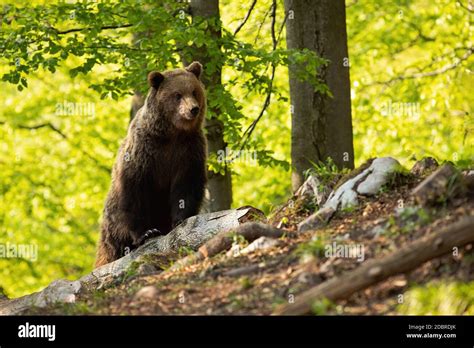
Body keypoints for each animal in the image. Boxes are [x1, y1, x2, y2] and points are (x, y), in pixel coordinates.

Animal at [95, 61, 207, 266]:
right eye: (177, 95)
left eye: (194, 91)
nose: (193, 109)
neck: (172, 134)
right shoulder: (143, 152)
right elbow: (135, 191)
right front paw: (147, 232)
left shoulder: (189, 151)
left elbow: (186, 186)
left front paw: (180, 220)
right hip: (112, 224)